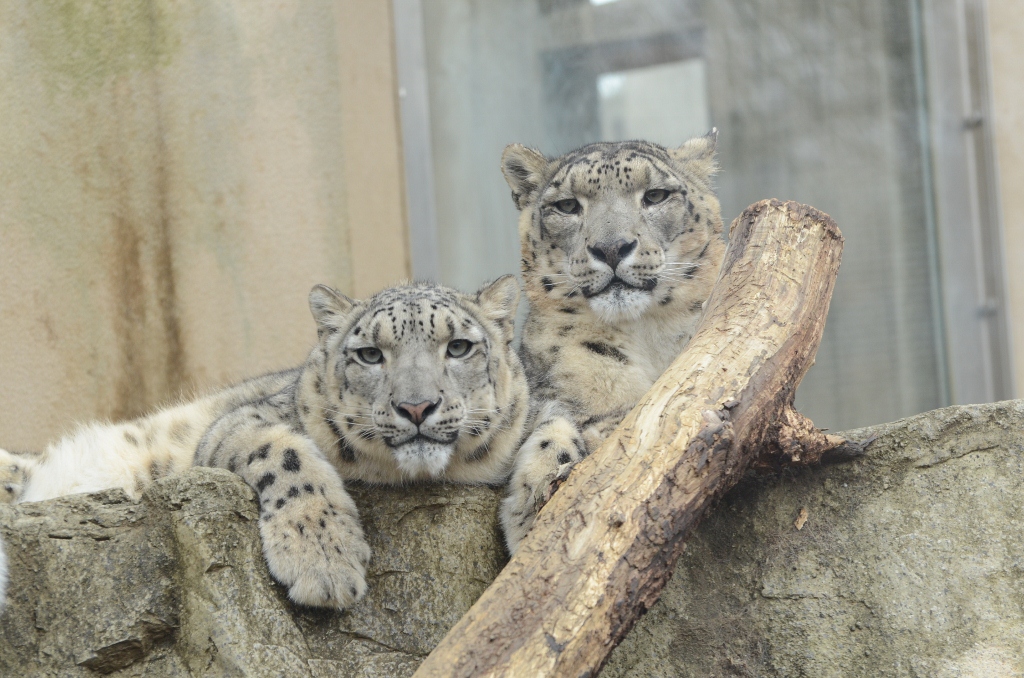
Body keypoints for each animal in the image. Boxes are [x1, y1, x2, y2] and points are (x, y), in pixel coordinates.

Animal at [0, 276, 528, 610]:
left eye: (458, 347)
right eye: (369, 354)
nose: (416, 407)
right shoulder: (242, 421)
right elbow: (285, 453)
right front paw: (325, 562)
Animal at [497, 131, 724, 553]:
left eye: (655, 195)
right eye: (567, 205)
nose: (612, 248)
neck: (646, 335)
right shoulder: (545, 391)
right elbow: (553, 422)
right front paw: (531, 500)